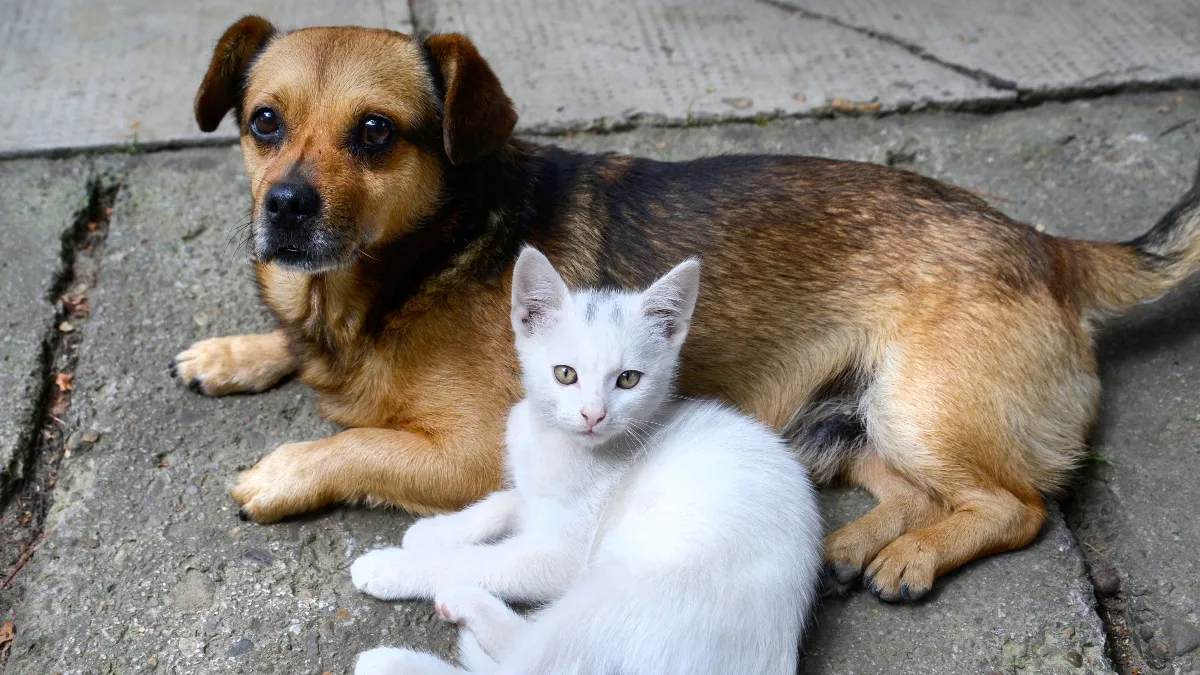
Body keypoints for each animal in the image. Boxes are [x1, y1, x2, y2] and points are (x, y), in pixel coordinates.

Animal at [175, 17, 1200, 598]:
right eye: (264, 121)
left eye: (376, 134)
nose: (286, 207)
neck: (414, 262)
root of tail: (1048, 244)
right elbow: (294, 347)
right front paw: (233, 352)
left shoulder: (470, 452)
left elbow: (354, 443)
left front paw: (281, 471)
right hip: (857, 422)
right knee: (917, 491)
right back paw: (854, 549)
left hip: (924, 404)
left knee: (1018, 504)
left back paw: (911, 559)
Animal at [350, 247, 825, 672]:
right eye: (565, 374)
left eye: (628, 380)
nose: (593, 415)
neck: (554, 442)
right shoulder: (533, 489)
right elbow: (506, 501)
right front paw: (437, 530)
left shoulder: (560, 556)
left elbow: (483, 561)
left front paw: (393, 565)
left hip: (617, 589)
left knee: (530, 661)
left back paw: (399, 651)